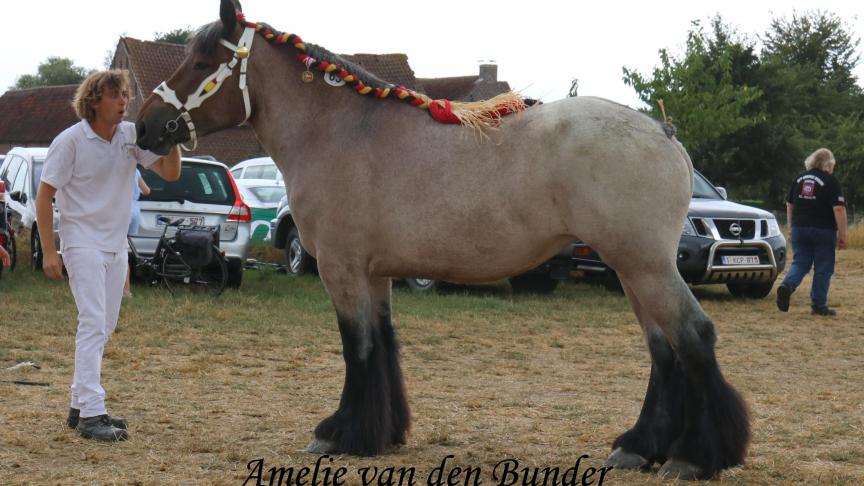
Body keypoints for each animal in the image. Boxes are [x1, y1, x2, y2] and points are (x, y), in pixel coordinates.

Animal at [135, 0, 748, 478]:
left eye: (202, 63)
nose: (146, 126)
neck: (340, 132)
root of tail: (661, 132)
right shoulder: (375, 273)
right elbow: (382, 344)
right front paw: (380, 434)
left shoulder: (341, 269)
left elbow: (357, 347)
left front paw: (338, 434)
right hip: (632, 268)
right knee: (664, 348)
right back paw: (638, 448)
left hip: (644, 266)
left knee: (693, 335)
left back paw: (694, 457)